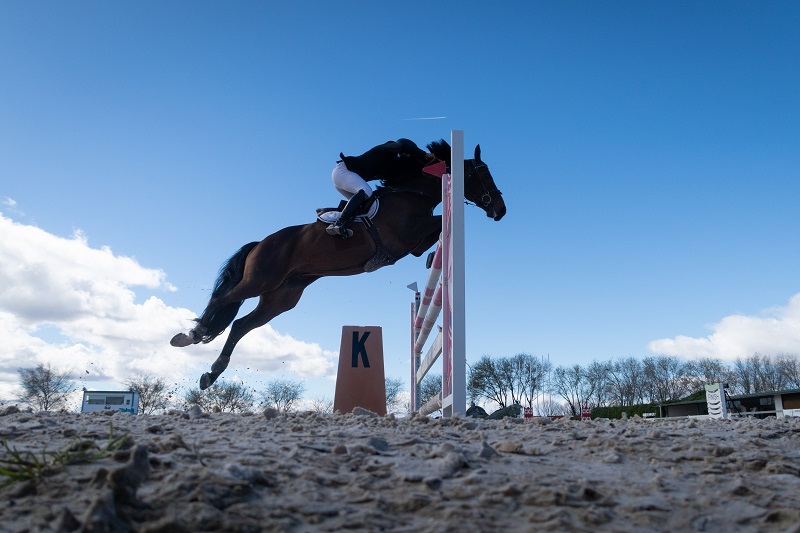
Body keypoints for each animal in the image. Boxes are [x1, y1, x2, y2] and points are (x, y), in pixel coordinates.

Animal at [170, 139, 506, 388]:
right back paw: (191, 336)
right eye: (483, 174)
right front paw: (431, 257)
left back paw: (211, 373)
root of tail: (261, 243)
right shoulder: (407, 235)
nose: (501, 210)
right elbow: (436, 226)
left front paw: (430, 258)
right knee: (222, 300)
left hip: (280, 298)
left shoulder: (409, 242)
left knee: (239, 325)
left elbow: (434, 233)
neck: (413, 190)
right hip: (260, 280)